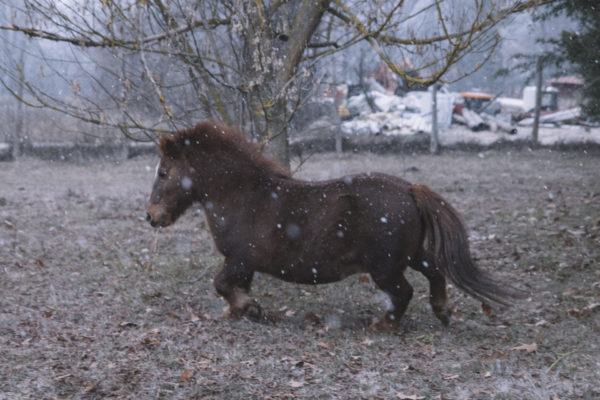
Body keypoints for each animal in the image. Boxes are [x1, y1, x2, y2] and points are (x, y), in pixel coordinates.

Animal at [146, 120, 524, 330]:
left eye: (163, 172)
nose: (151, 216)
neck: (242, 194)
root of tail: (410, 189)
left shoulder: (239, 259)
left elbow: (221, 284)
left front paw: (248, 308)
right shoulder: (244, 265)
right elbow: (230, 288)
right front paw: (242, 311)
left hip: (385, 267)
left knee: (404, 292)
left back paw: (382, 327)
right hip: (411, 254)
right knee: (435, 271)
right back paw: (442, 312)